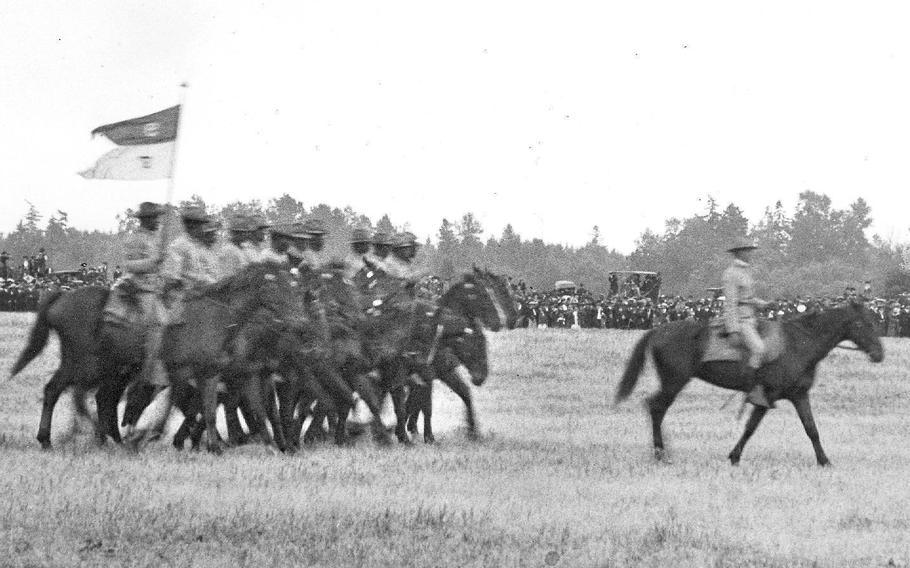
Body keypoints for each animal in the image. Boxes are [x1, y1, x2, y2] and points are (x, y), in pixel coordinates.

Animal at [616, 302, 888, 466]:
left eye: (874, 322)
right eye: (863, 323)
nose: (879, 354)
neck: (799, 343)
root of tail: (657, 330)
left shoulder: (799, 395)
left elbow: (811, 428)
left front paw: (824, 460)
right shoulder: (766, 395)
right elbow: (750, 427)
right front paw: (734, 456)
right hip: (674, 381)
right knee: (656, 408)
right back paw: (661, 453)